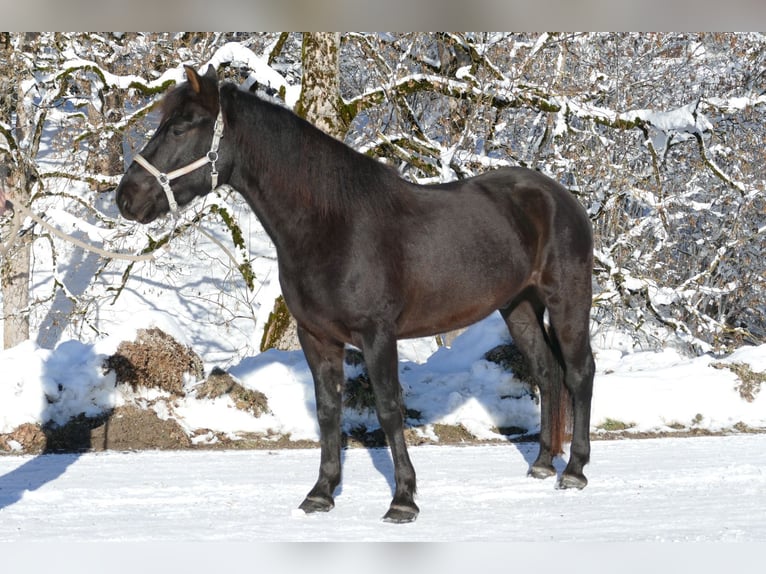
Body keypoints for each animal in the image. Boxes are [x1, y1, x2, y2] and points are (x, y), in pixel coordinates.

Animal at [117, 65, 596, 524]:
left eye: (182, 126)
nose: (126, 197)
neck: (332, 224)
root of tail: (561, 197)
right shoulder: (316, 336)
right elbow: (329, 411)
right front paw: (321, 493)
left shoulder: (376, 335)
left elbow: (388, 409)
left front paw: (403, 500)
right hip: (518, 307)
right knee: (546, 372)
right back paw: (542, 463)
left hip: (567, 301)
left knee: (578, 373)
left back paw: (574, 471)